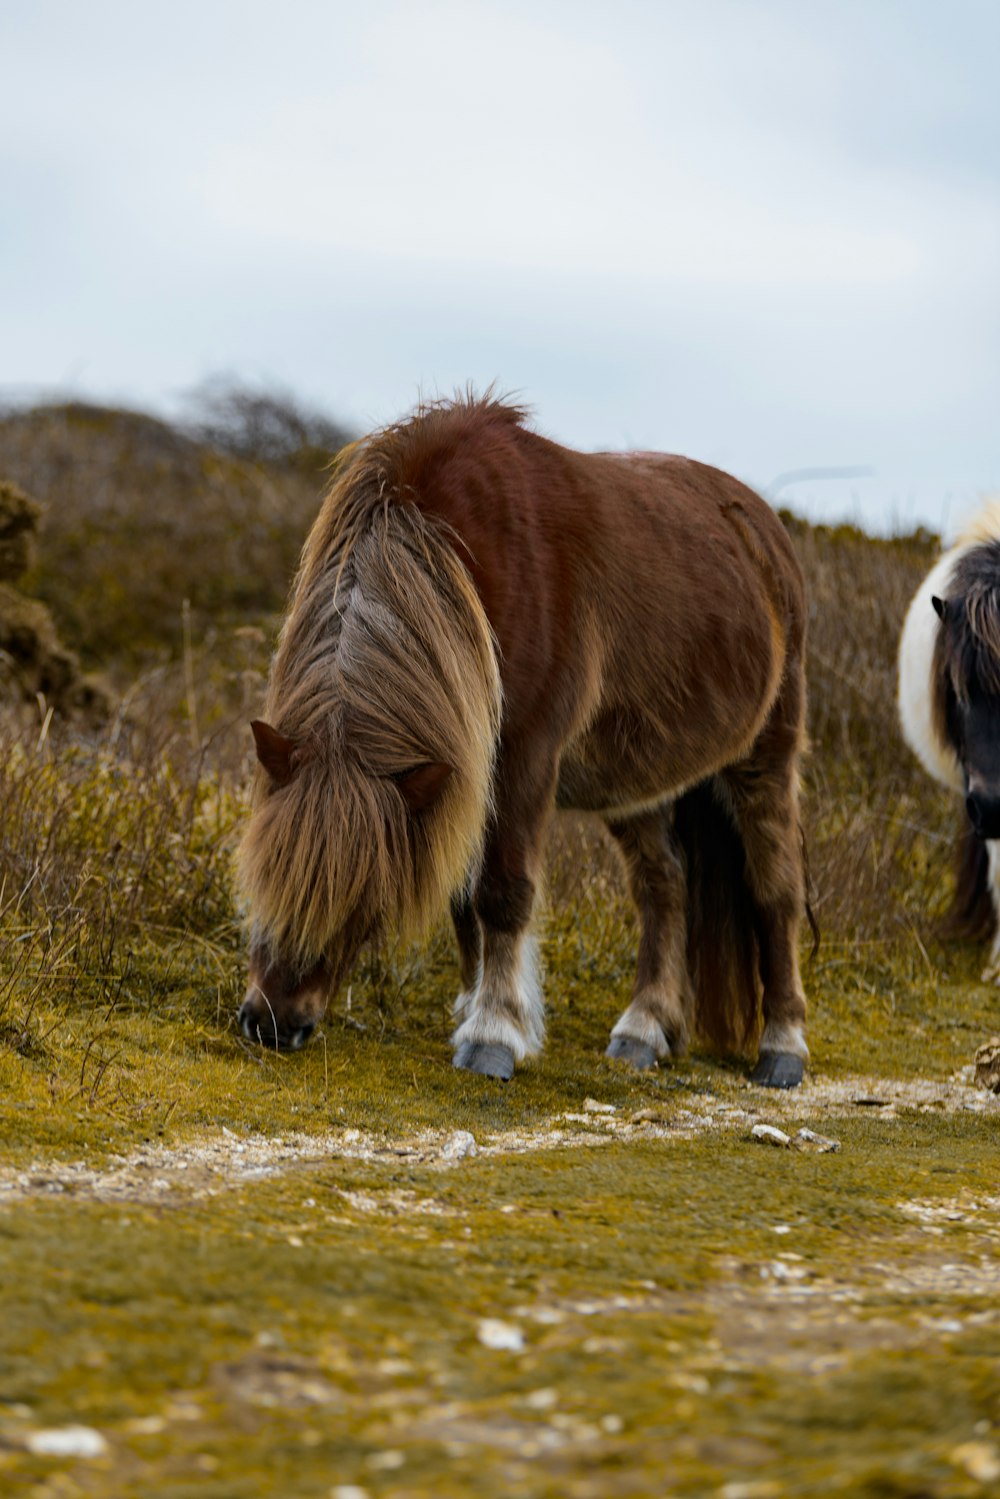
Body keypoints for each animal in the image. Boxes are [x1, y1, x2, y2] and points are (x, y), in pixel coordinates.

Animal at [236, 392, 815, 1085]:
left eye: (364, 901)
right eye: (264, 870)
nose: (270, 1022)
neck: (462, 560)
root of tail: (765, 531)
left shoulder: (523, 761)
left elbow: (503, 893)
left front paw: (494, 1033)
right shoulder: (463, 774)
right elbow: (464, 897)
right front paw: (471, 1006)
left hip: (765, 758)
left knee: (775, 892)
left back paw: (782, 1046)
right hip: (638, 783)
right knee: (664, 887)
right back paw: (645, 1029)